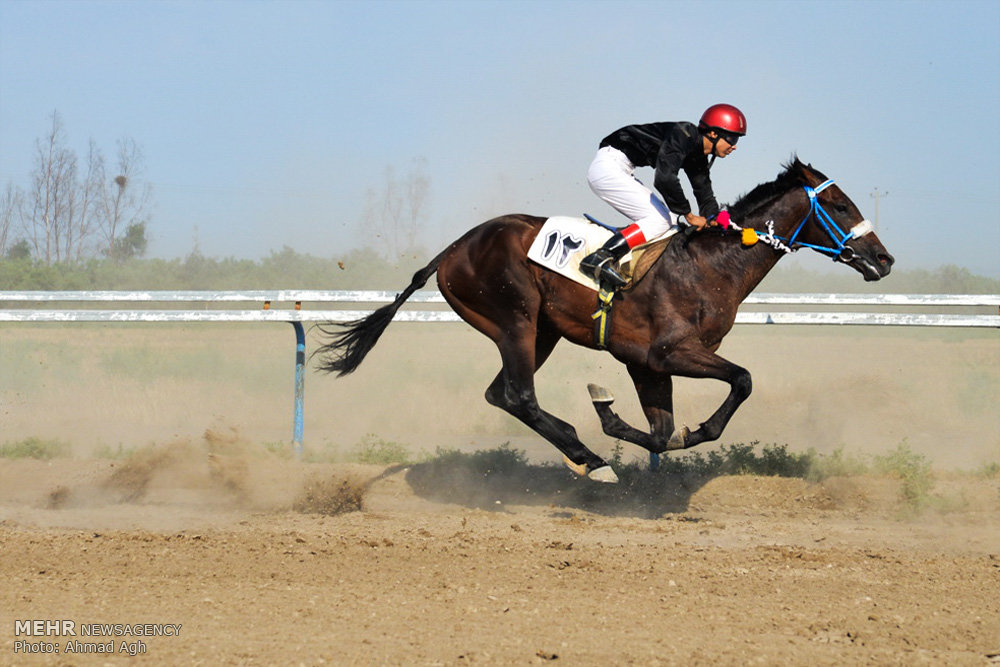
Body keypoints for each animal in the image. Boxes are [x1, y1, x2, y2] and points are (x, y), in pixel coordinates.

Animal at [316, 160, 896, 486]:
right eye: (840, 204)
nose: (884, 259)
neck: (711, 264)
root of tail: (453, 248)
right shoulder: (669, 353)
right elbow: (742, 381)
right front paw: (637, 422)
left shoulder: (644, 361)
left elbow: (662, 434)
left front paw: (620, 418)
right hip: (516, 319)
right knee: (519, 395)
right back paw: (590, 460)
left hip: (539, 332)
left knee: (500, 394)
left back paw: (584, 452)